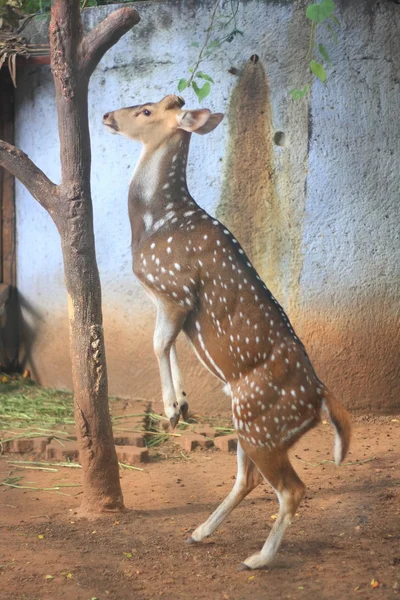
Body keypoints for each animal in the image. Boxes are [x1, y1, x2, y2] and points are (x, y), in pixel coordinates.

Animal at [103, 94, 350, 568]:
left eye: (146, 110)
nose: (107, 115)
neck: (155, 223)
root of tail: (321, 402)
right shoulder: (166, 299)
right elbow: (165, 343)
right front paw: (181, 402)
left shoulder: (175, 287)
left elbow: (157, 342)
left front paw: (170, 408)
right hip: (250, 427)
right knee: (248, 480)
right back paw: (199, 532)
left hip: (261, 427)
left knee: (293, 489)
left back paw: (258, 559)